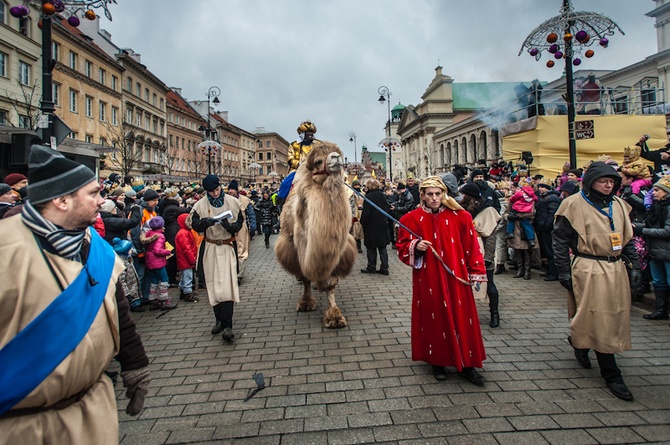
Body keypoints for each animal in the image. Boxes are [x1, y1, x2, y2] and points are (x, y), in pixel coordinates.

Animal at [274, 140, 356, 328]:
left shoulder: (337, 248)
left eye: (338, 152)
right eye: (318, 161)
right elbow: (305, 276)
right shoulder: (298, 247)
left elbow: (330, 283)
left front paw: (334, 316)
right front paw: (305, 303)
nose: (336, 157)